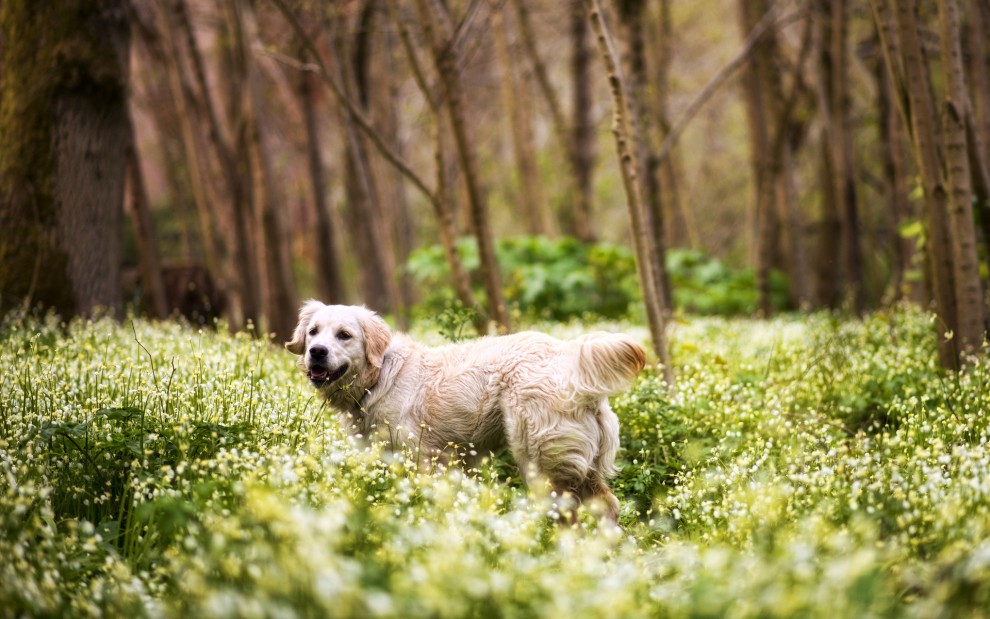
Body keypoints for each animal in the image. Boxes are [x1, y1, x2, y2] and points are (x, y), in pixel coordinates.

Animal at [284, 302, 652, 520]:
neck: (380, 376)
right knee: (608, 506)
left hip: (538, 462)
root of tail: (566, 357)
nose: (316, 352)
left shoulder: (424, 460)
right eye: (313, 331)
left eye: (344, 335)